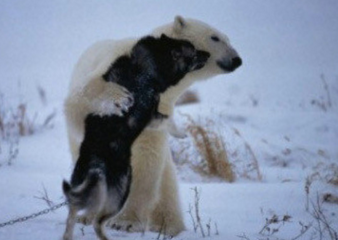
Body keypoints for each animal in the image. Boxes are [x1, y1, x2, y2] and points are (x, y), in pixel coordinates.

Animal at [64, 15, 242, 237]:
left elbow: (146, 158)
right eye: (215, 37)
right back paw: (87, 214)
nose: (237, 59)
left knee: (167, 186)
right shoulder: (114, 67)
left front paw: (127, 222)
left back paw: (169, 226)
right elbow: (81, 100)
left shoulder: (160, 108)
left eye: (228, 38)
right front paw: (118, 97)